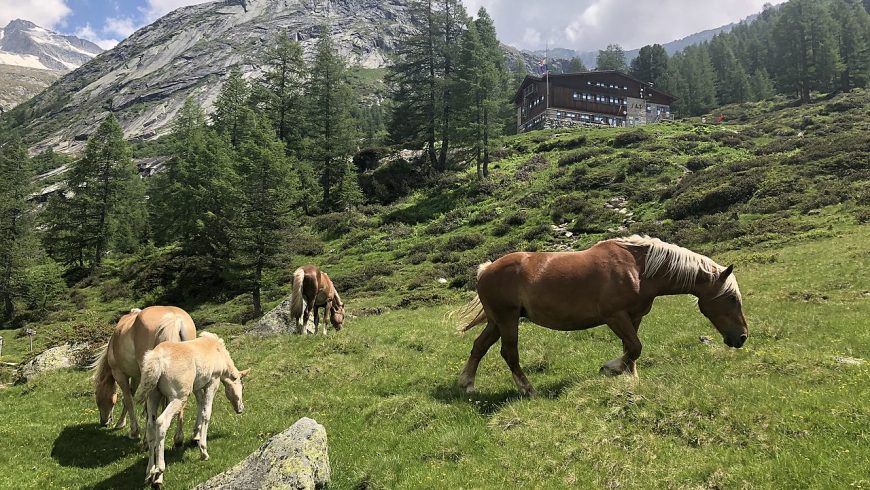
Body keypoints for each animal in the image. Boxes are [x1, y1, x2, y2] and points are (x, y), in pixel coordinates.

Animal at [93, 304, 197, 438]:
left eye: (98, 398)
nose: (104, 422)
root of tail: (173, 319)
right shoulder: (136, 377)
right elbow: (130, 397)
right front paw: (122, 423)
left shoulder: (120, 374)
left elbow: (128, 399)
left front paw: (132, 430)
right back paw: (178, 437)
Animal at [138, 332, 249, 488]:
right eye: (242, 385)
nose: (240, 409)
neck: (217, 349)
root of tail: (157, 359)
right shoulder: (213, 381)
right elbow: (206, 412)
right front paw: (203, 451)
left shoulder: (197, 386)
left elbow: (200, 404)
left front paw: (196, 434)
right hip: (178, 397)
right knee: (161, 423)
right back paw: (159, 471)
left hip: (153, 395)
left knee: (150, 428)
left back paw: (149, 472)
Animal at [456, 234, 748, 398]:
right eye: (732, 298)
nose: (742, 337)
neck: (639, 268)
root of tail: (486, 269)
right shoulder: (615, 316)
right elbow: (635, 347)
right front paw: (611, 368)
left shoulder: (634, 317)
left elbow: (631, 348)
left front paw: (630, 377)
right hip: (507, 320)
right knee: (509, 353)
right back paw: (527, 389)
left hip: (497, 321)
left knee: (479, 346)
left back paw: (468, 385)